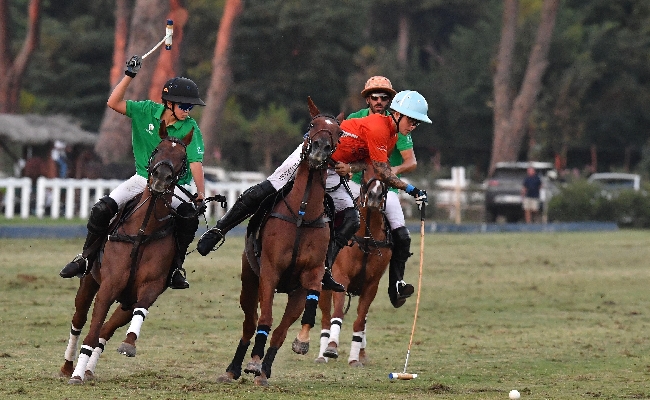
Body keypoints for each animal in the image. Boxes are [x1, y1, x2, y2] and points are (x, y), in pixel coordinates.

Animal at [59, 123, 192, 382]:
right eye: (157, 149)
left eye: (183, 157)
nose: (161, 178)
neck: (142, 230)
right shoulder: (109, 285)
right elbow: (90, 331)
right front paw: (76, 376)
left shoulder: (150, 287)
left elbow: (139, 311)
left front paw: (129, 344)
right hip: (90, 281)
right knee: (79, 321)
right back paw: (69, 367)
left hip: (126, 300)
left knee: (106, 330)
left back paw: (88, 370)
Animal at [215, 98, 342, 386]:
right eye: (312, 125)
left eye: (338, 132)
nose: (320, 149)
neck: (302, 213)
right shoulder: (270, 272)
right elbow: (265, 319)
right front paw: (252, 361)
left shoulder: (312, 273)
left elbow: (306, 308)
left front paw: (301, 342)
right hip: (250, 280)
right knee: (251, 323)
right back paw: (234, 368)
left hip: (293, 292)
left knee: (281, 329)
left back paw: (264, 371)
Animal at [314, 177, 390, 368]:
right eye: (365, 179)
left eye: (386, 180)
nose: (374, 195)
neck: (366, 239)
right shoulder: (341, 278)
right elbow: (337, 314)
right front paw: (331, 347)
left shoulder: (372, 285)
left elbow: (360, 321)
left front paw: (355, 358)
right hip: (324, 286)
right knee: (325, 318)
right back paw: (321, 355)